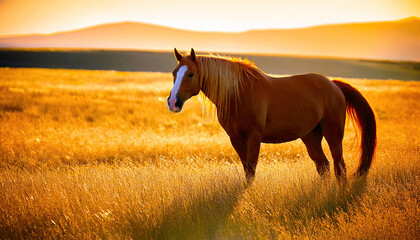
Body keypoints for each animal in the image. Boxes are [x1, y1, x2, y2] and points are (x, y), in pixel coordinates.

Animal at [167, 48, 378, 182]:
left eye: (191, 74)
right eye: (174, 73)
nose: (173, 102)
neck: (238, 93)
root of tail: (334, 85)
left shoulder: (254, 137)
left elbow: (251, 171)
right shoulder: (236, 139)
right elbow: (246, 170)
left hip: (332, 133)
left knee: (339, 166)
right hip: (311, 136)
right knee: (323, 166)